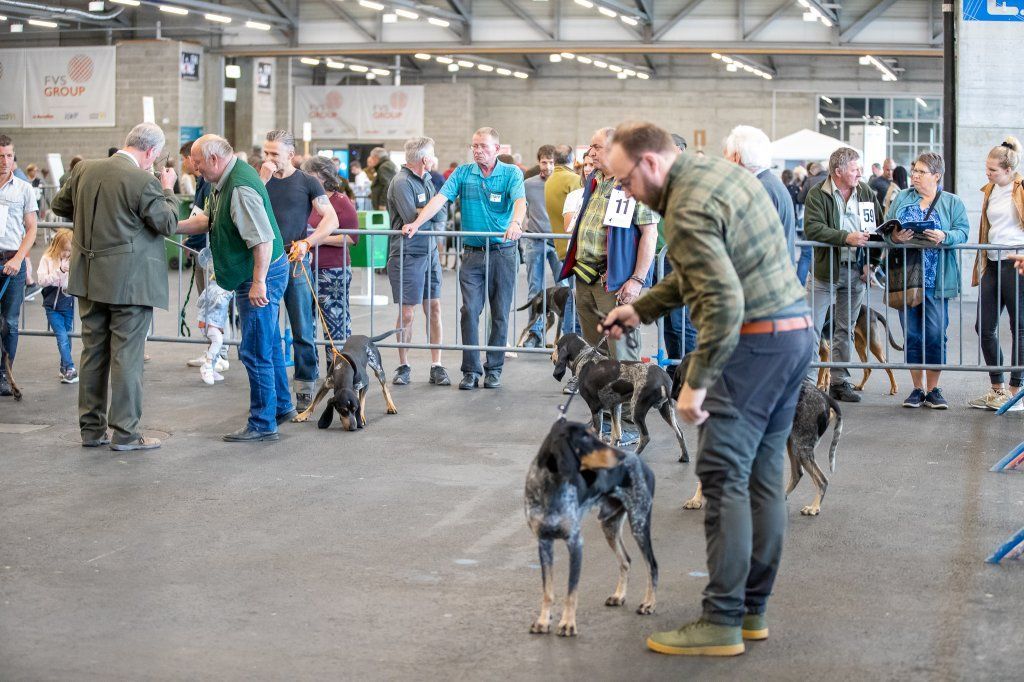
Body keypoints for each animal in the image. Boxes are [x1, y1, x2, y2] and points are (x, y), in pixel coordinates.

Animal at [524, 417, 659, 634]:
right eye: (586, 438)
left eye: (597, 435)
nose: (621, 456)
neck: (549, 487)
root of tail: (641, 463)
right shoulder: (544, 543)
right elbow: (548, 591)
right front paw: (543, 621)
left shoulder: (575, 543)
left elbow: (571, 591)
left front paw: (568, 623)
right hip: (609, 525)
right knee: (625, 560)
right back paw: (619, 596)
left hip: (639, 523)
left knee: (652, 565)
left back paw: (649, 604)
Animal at [552, 331, 688, 458]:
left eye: (557, 346)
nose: (551, 357)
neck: (585, 358)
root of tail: (664, 379)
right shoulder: (615, 406)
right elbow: (616, 433)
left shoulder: (595, 408)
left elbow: (598, 433)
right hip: (666, 410)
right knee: (679, 432)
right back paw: (684, 457)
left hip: (637, 410)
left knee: (645, 437)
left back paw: (634, 454)